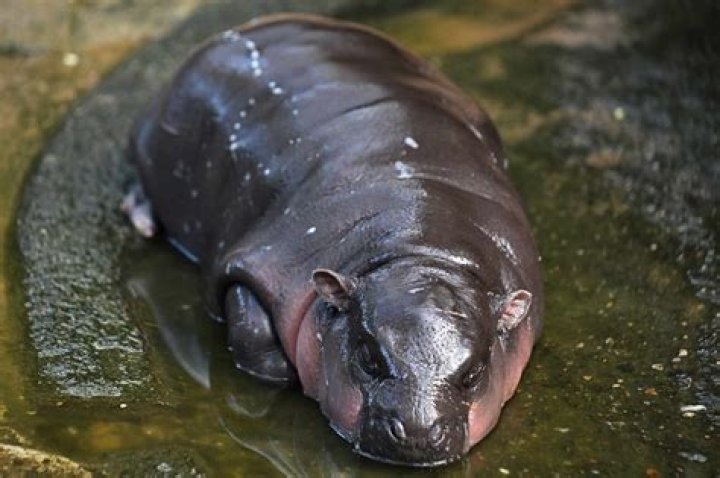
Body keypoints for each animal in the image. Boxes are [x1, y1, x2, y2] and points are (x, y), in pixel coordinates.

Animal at [123, 13, 543, 467]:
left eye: (474, 374)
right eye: (368, 358)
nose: (416, 432)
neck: (419, 250)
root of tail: (253, 25)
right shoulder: (264, 261)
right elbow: (251, 328)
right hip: (152, 144)